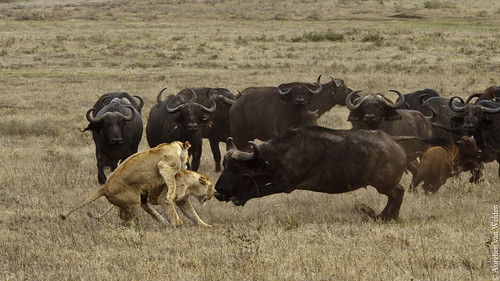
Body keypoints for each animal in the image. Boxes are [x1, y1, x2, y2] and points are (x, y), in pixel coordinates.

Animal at [214, 126, 406, 221]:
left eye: (235, 168)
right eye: (224, 165)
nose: (218, 189)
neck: (281, 152)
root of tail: (393, 142)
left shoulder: (285, 183)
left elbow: (260, 191)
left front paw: (239, 198)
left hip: (383, 183)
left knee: (398, 192)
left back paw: (388, 216)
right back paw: (383, 215)